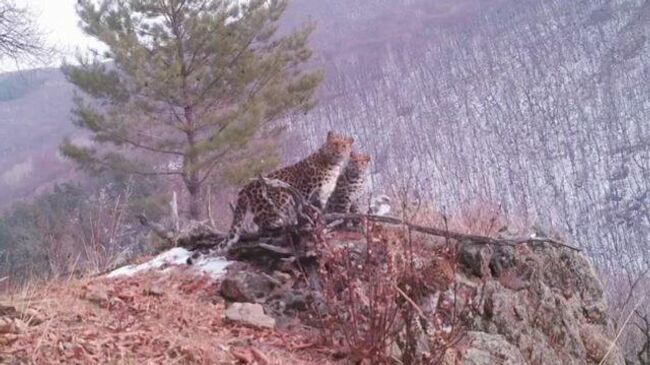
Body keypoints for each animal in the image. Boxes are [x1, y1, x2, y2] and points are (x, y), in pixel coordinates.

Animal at [219, 131, 354, 250]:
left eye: (344, 146)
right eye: (334, 144)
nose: (338, 152)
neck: (333, 166)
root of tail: (245, 187)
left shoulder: (324, 195)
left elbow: (320, 212)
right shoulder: (307, 192)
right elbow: (307, 210)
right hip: (276, 200)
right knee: (262, 220)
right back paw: (280, 225)